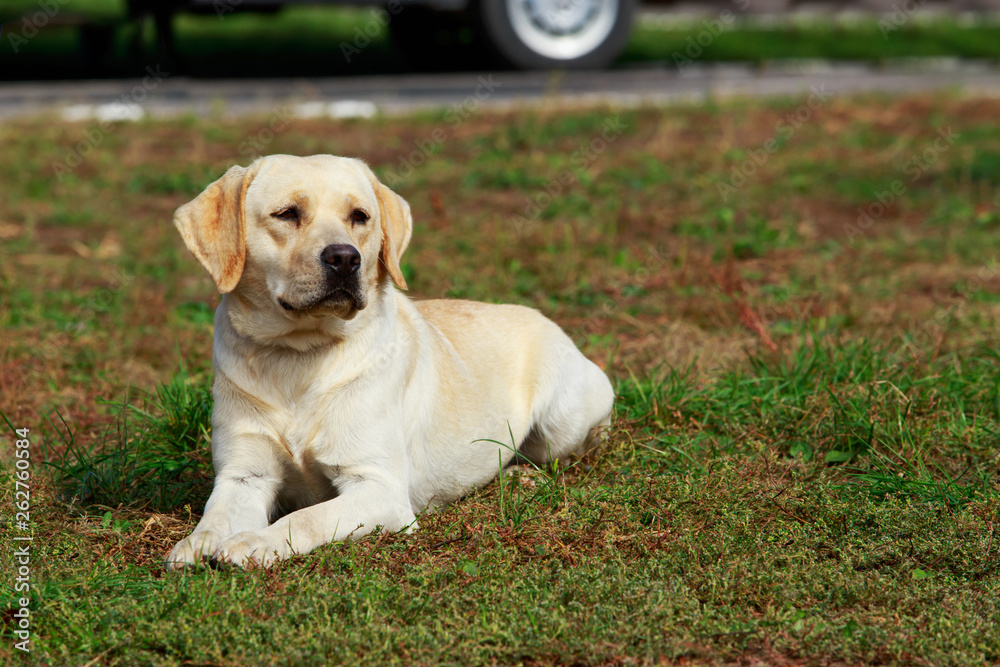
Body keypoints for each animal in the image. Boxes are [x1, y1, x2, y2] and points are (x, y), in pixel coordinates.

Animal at [166, 155, 608, 568]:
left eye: (360, 216)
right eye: (288, 213)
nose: (345, 258)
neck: (300, 352)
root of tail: (548, 321)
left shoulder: (380, 488)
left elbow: (306, 518)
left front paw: (257, 542)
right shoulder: (243, 476)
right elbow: (215, 515)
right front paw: (196, 543)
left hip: (561, 422)